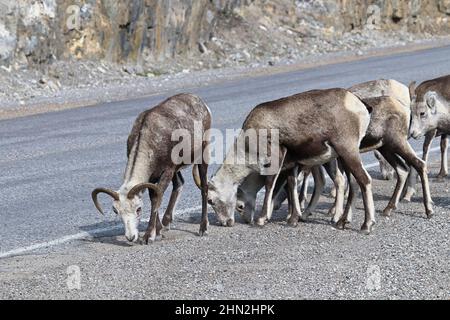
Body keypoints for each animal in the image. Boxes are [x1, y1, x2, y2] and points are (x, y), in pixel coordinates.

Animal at [92, 94, 212, 244]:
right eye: (116, 211)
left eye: (138, 209)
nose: (131, 237)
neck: (150, 140)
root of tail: (201, 102)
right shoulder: (152, 177)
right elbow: (153, 197)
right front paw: (158, 232)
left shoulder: (167, 171)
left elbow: (156, 198)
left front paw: (148, 236)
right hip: (177, 170)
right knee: (179, 183)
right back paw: (167, 223)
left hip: (203, 155)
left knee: (204, 188)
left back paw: (203, 228)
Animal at [207, 89, 376, 234]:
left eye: (210, 200)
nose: (226, 223)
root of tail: (357, 103)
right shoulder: (291, 165)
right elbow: (291, 185)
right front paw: (293, 220)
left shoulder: (277, 158)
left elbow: (270, 185)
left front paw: (262, 220)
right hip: (342, 157)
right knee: (352, 183)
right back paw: (341, 222)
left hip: (347, 152)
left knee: (365, 180)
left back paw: (366, 226)